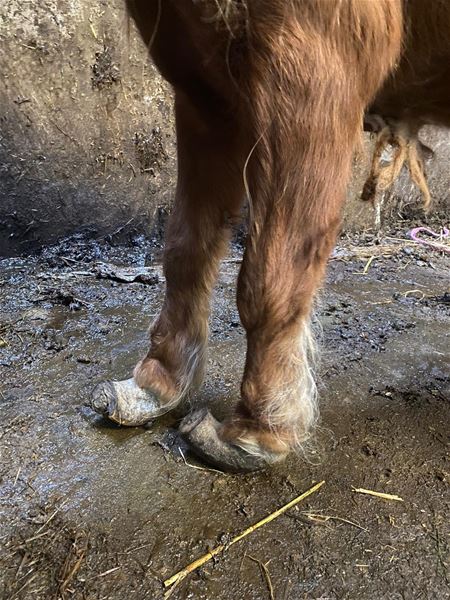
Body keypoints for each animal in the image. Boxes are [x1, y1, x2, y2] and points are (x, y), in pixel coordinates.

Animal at [90, 1, 450, 474]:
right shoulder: (205, 95)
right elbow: (185, 248)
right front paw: (158, 383)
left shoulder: (312, 73)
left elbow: (269, 279)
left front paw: (259, 429)